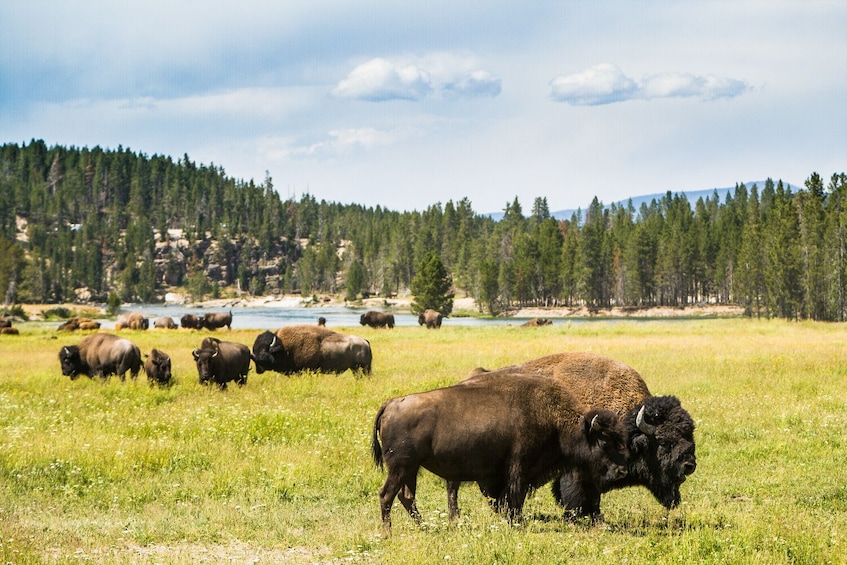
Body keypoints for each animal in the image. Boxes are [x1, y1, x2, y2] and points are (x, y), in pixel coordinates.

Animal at [372, 372, 628, 536]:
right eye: (604, 441)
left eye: (620, 440)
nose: (622, 470)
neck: (556, 421)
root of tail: (391, 403)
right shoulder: (519, 469)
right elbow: (515, 498)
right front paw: (518, 523)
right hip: (400, 467)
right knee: (386, 495)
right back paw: (388, 533)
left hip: (411, 469)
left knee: (406, 496)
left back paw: (425, 527)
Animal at [468, 352, 700, 520]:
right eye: (664, 442)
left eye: (690, 435)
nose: (689, 465)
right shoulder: (578, 471)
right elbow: (580, 495)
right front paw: (587, 517)